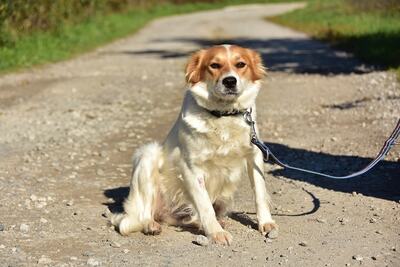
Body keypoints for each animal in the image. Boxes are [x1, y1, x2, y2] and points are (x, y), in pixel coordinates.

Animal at [111, 45, 276, 246]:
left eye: (240, 64)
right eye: (214, 65)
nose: (230, 81)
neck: (223, 115)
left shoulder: (254, 156)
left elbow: (260, 193)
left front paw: (266, 223)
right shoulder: (191, 168)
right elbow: (205, 206)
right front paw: (216, 233)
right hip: (147, 155)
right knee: (137, 217)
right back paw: (151, 225)